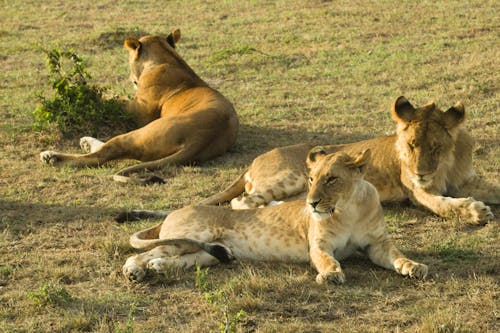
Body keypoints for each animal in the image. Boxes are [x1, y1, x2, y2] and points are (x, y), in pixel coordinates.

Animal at [39, 28, 238, 183]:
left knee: (101, 155)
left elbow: (114, 100)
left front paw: (87, 91)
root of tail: (201, 138)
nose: (130, 78)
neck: (167, 58)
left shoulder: (139, 112)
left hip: (141, 133)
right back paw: (83, 144)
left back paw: (52, 157)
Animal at [123, 148, 428, 282]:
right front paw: (331, 275)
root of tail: (173, 213)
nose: (311, 203)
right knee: (141, 253)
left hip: (210, 251)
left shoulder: (378, 244)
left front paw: (414, 267)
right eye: (311, 178)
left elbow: (397, 256)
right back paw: (135, 272)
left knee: (183, 259)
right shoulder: (319, 246)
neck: (348, 208)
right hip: (190, 235)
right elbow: (327, 260)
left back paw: (159, 268)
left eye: (331, 179)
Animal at [200, 97, 500, 224]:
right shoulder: (418, 192)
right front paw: (476, 212)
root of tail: (252, 162)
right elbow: (444, 204)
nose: (420, 173)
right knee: (242, 202)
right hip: (292, 178)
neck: (446, 164)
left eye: (436, 147)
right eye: (411, 145)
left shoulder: (467, 180)